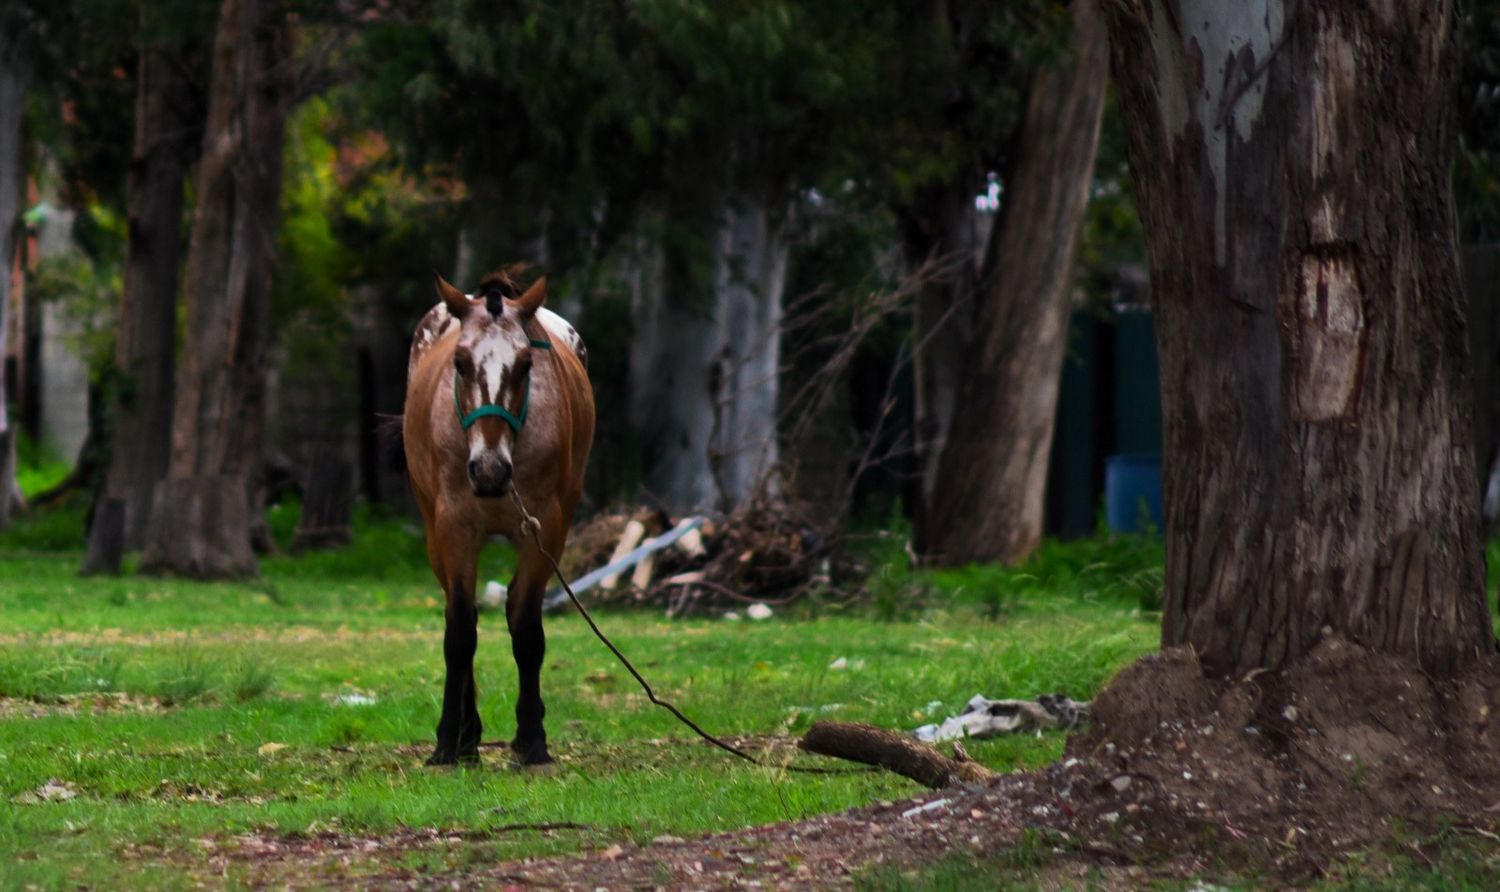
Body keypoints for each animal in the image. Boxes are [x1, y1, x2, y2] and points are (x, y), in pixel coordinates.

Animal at [402, 268, 594, 764]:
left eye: (526, 364)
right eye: (460, 362)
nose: (489, 471)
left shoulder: (545, 528)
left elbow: (526, 629)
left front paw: (532, 739)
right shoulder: (453, 528)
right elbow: (459, 632)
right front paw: (449, 740)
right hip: (433, 532)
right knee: (461, 612)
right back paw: (468, 734)